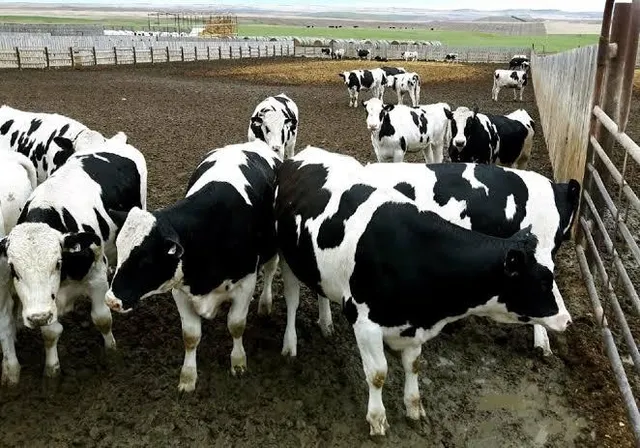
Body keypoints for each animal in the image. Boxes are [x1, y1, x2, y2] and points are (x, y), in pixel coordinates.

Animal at [0, 133, 147, 385]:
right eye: (14, 270)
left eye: (57, 263)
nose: (38, 316)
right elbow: (50, 333)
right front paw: (52, 371)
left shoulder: (96, 275)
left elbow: (102, 318)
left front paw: (112, 353)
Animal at [104, 140, 281, 393]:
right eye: (119, 249)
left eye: (145, 259)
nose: (111, 300)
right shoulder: (180, 288)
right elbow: (190, 336)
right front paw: (187, 378)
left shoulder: (245, 282)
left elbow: (236, 325)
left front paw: (238, 363)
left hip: (273, 249)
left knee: (270, 270)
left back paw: (265, 304)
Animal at [274, 146, 571, 436]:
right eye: (542, 281)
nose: (568, 321)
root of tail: (306, 154)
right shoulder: (364, 322)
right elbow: (377, 374)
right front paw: (377, 419)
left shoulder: (415, 324)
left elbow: (414, 365)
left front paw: (414, 409)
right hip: (287, 259)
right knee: (292, 300)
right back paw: (290, 345)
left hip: (318, 267)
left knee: (321, 290)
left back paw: (326, 323)